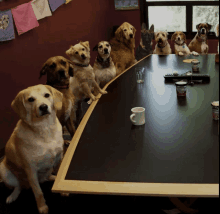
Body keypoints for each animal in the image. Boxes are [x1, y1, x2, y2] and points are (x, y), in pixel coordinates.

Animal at [0, 84, 65, 214]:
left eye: (47, 95)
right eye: (31, 99)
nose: (43, 107)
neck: (45, 129)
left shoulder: (59, 157)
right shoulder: (31, 170)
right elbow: (38, 192)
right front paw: (42, 208)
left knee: (46, 177)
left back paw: (52, 178)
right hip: (3, 171)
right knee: (18, 187)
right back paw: (12, 196)